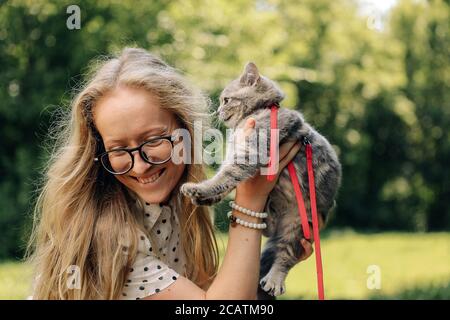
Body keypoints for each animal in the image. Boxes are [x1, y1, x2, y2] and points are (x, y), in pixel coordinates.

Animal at [179, 62, 342, 298]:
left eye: (226, 100)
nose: (217, 111)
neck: (260, 111)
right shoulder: (236, 152)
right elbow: (226, 177)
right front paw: (207, 197)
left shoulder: (251, 152)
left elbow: (227, 174)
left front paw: (201, 189)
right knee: (269, 231)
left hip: (299, 223)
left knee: (285, 255)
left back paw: (274, 279)